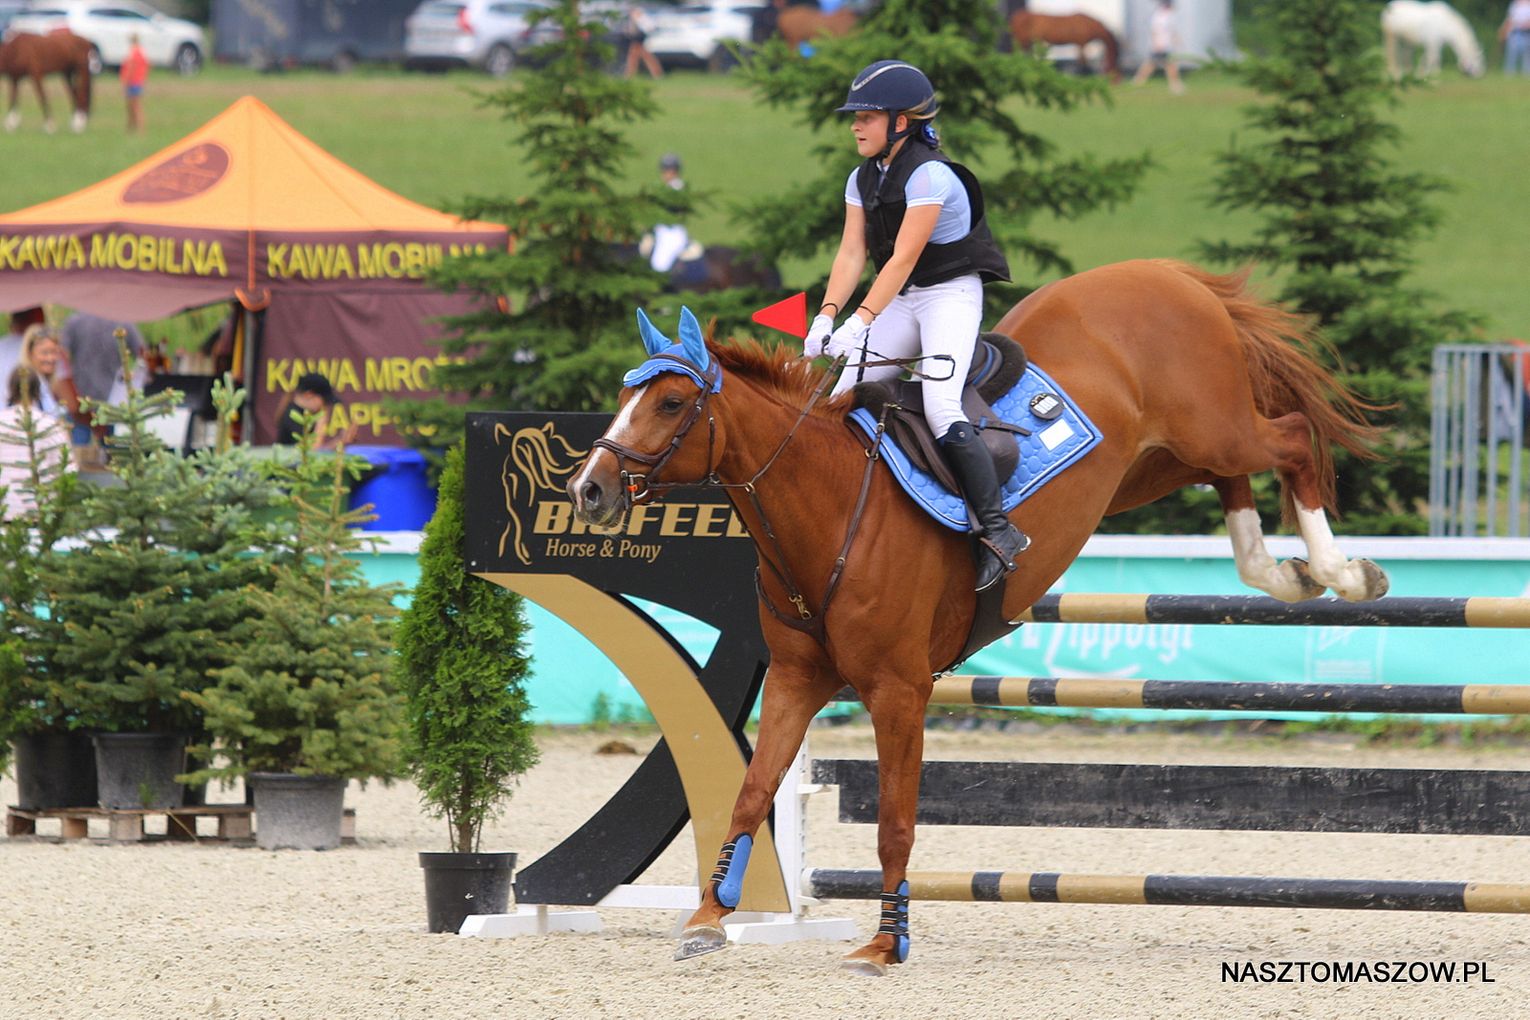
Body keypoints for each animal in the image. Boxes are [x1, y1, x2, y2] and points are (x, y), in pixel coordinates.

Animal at [568, 259, 1389, 974]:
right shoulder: (797, 682)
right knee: (1233, 480)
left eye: (671, 404)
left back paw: (1344, 571)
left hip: (1210, 425)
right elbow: (751, 793)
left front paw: (884, 945)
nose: (587, 489)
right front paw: (709, 917)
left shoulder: (900, 692)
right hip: (1151, 464)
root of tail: (1161, 270)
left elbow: (894, 823)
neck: (830, 511)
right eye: (627, 398)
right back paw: (1284, 574)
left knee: (1289, 438)